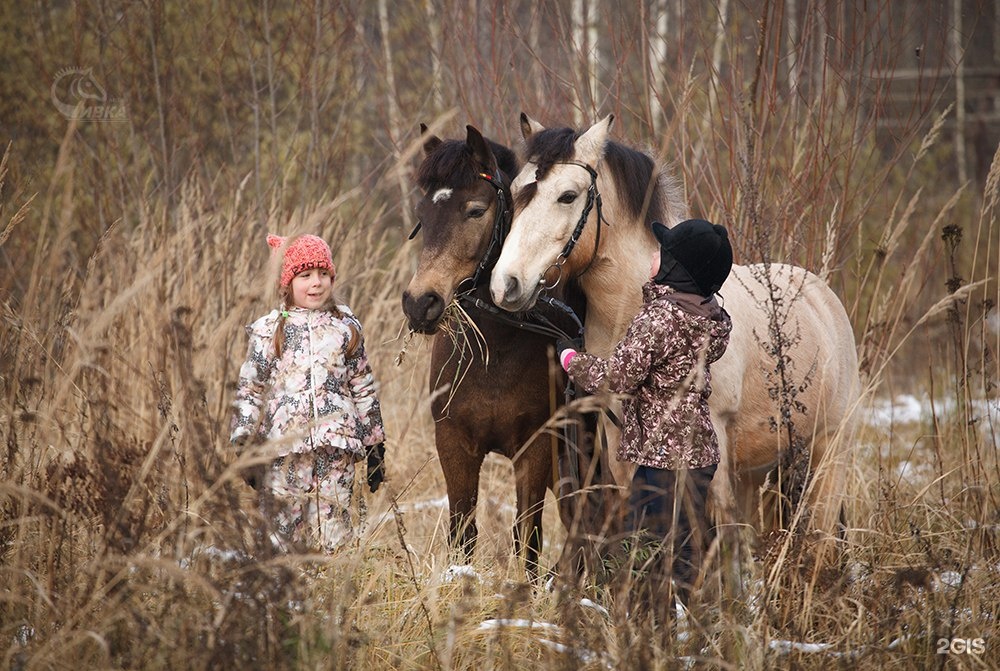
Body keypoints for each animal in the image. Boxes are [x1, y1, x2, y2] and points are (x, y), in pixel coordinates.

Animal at [398, 124, 588, 576]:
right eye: (423, 215)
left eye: (475, 211)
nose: (419, 303)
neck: (496, 350)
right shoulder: (453, 443)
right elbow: (462, 531)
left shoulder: (537, 449)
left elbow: (527, 537)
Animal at [492, 113, 860, 548]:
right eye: (518, 190)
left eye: (567, 196)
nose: (505, 284)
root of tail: (824, 298)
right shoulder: (621, 448)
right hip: (758, 470)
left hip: (828, 453)